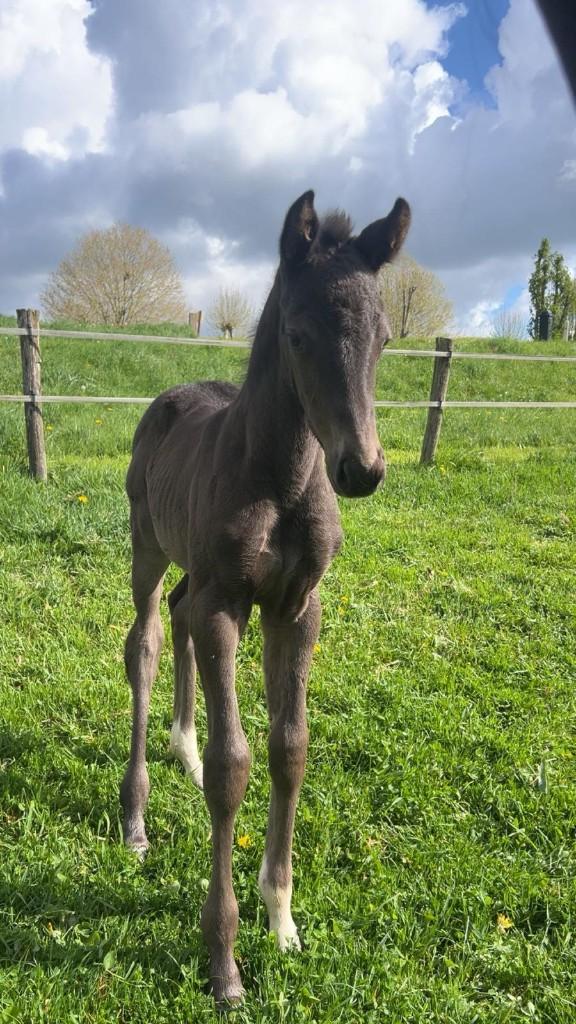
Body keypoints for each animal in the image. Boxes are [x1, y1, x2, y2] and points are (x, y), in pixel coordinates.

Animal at [119, 189, 410, 1004]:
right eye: (298, 334)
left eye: (384, 338)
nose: (361, 469)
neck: (280, 479)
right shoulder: (228, 603)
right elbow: (234, 767)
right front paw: (223, 960)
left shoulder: (295, 608)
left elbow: (289, 748)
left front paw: (280, 918)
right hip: (148, 546)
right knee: (147, 641)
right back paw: (136, 820)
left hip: (198, 572)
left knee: (177, 619)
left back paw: (180, 752)